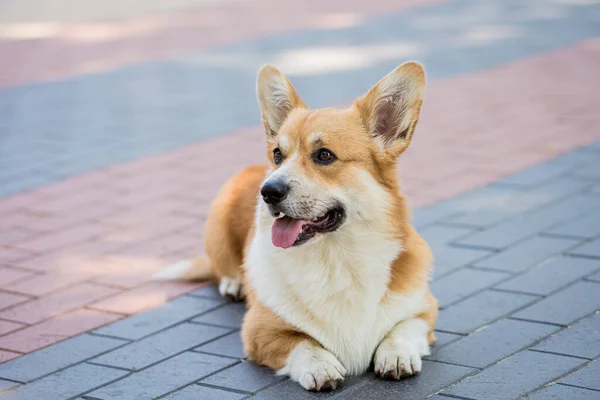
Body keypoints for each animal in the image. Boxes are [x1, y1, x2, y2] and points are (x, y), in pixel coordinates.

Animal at [155, 62, 436, 390]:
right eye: (278, 154)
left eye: (324, 155)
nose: (268, 191)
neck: (336, 260)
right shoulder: (259, 331)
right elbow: (303, 343)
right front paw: (321, 366)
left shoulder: (425, 310)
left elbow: (402, 328)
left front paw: (396, 355)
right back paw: (234, 283)